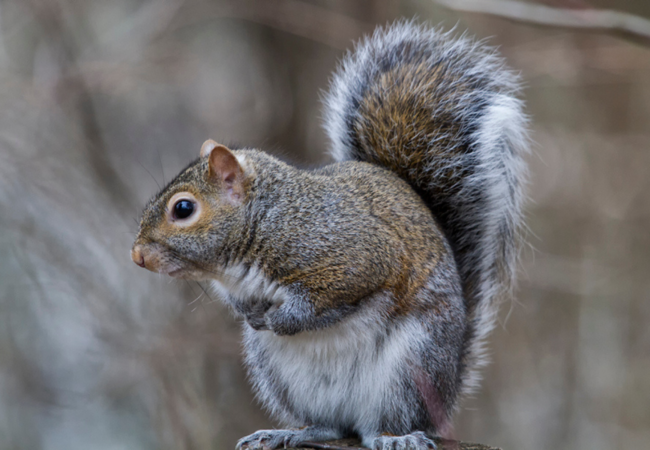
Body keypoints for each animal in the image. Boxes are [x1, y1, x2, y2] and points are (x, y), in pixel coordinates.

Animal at [131, 21, 527, 450]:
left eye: (183, 209)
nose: (137, 256)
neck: (267, 221)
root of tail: (448, 387)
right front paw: (251, 315)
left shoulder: (351, 256)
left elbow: (325, 299)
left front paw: (282, 319)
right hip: (280, 375)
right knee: (332, 426)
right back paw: (291, 432)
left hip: (411, 367)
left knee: (381, 422)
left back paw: (392, 437)